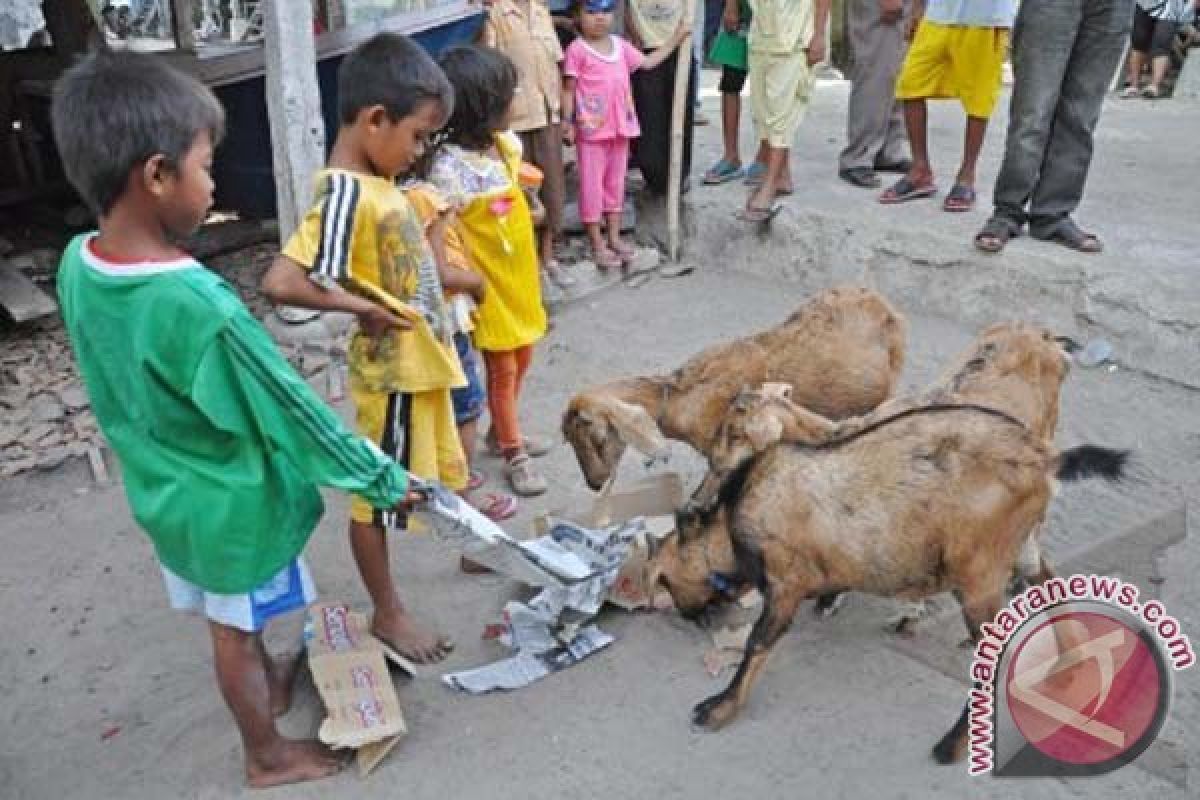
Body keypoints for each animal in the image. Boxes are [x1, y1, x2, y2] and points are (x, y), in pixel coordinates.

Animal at [657, 410, 1123, 767]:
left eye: (664, 577)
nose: (690, 616)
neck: (739, 512)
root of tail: (1044, 461)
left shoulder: (786, 579)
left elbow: (757, 642)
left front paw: (719, 708)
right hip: (1022, 548)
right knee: (1051, 588)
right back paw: (1072, 665)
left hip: (979, 572)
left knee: (994, 652)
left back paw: (953, 745)